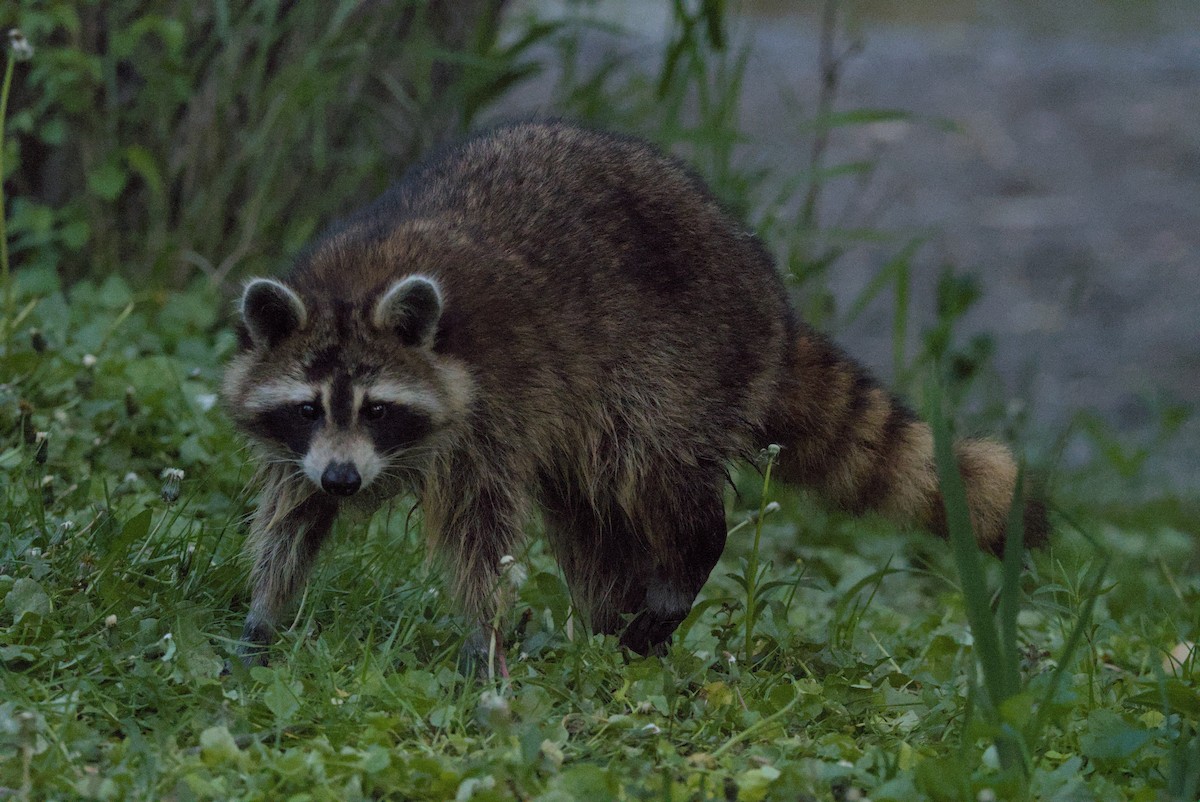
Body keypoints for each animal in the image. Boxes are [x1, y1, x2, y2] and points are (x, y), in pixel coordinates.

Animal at [223, 120, 1047, 666]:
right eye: (307, 408)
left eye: (379, 409)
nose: (344, 479)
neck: (356, 288)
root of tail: (770, 300)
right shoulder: (309, 445)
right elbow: (291, 513)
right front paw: (266, 611)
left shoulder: (488, 417)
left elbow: (481, 535)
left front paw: (485, 636)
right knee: (588, 515)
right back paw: (606, 621)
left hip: (679, 362)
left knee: (650, 471)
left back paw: (679, 570)